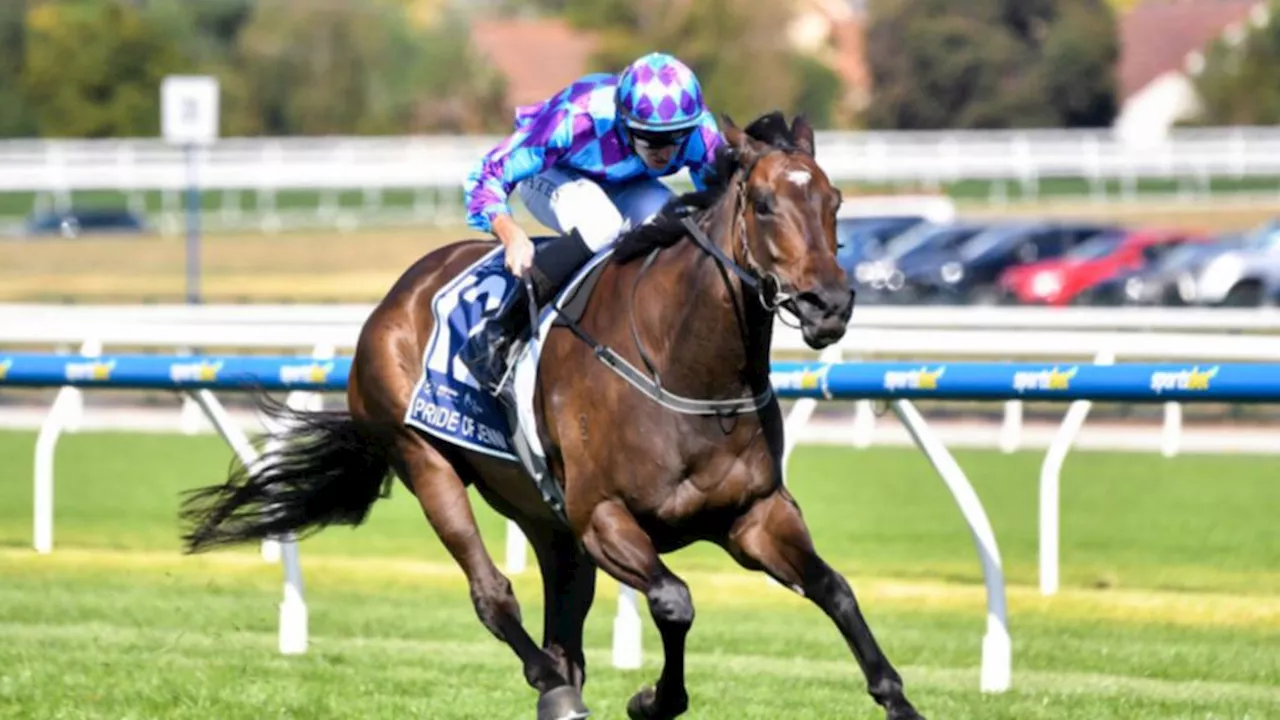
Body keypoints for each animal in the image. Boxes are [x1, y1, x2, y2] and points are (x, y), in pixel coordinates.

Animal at [177, 110, 921, 717]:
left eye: (834, 201)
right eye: (765, 205)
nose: (830, 304)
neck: (689, 371)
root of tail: (398, 293)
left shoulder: (755, 515)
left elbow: (836, 590)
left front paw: (898, 699)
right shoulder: (603, 517)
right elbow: (674, 601)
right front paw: (653, 698)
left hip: (543, 517)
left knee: (564, 628)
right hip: (429, 464)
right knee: (495, 597)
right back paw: (552, 687)